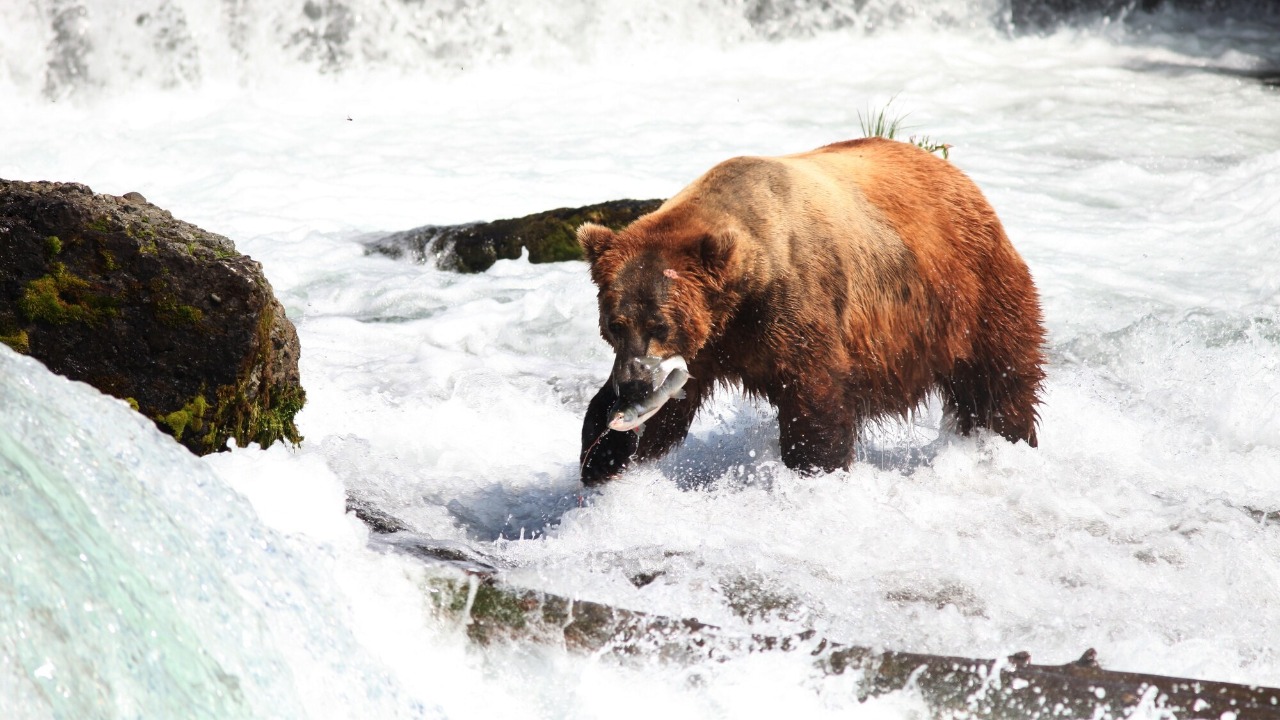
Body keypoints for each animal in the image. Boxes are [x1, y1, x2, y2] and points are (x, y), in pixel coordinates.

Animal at [577, 137, 1046, 485]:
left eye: (659, 323)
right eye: (615, 324)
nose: (634, 384)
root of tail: (956, 175)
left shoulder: (794, 304)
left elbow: (813, 394)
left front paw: (815, 469)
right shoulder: (709, 340)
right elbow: (667, 412)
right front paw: (604, 455)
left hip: (967, 294)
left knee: (998, 378)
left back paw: (1010, 441)